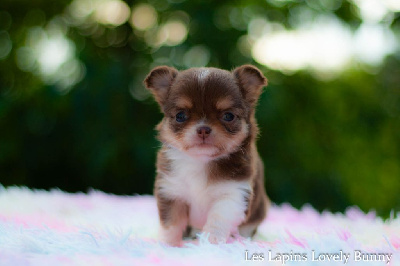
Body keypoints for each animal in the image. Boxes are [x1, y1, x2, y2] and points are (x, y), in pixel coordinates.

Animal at [143, 65, 268, 247]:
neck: (201, 161)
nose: (203, 129)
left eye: (228, 116)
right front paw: (168, 244)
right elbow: (171, 223)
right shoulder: (172, 192)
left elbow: (218, 218)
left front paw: (211, 242)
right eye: (180, 115)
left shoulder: (233, 194)